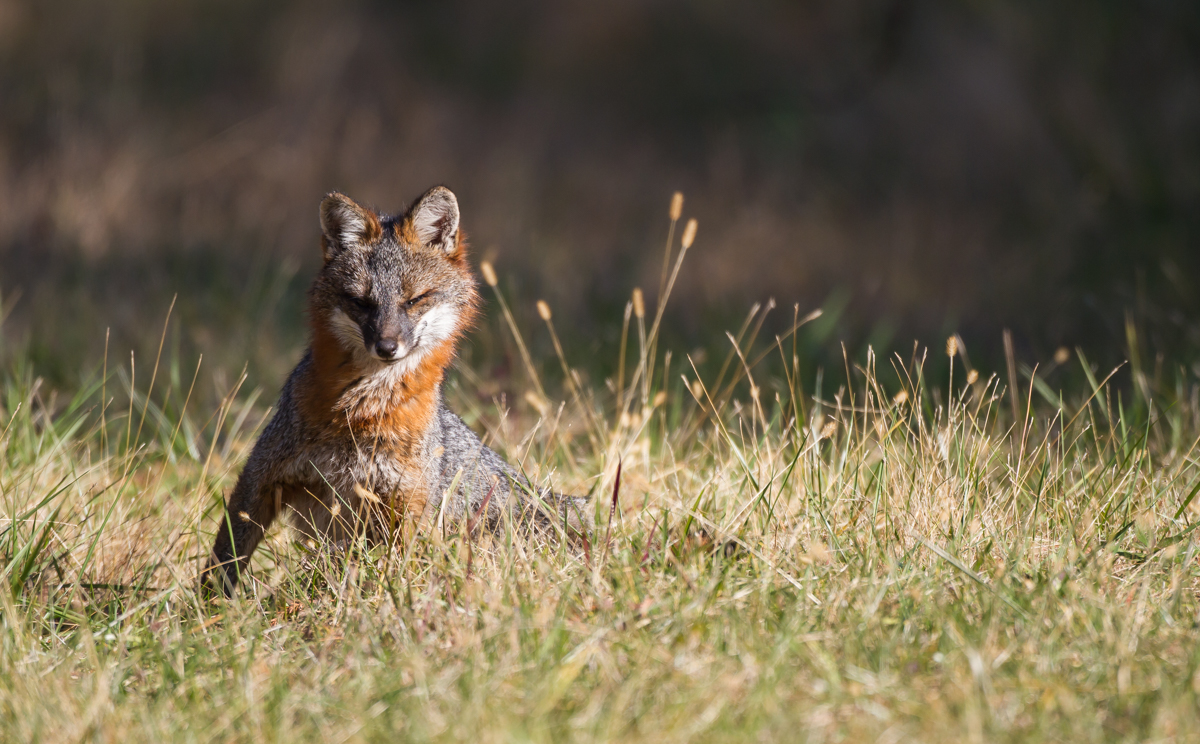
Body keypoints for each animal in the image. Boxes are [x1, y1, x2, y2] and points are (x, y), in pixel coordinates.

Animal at [203, 186, 589, 597]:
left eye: (415, 299)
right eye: (361, 302)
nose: (387, 347)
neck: (361, 412)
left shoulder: (406, 503)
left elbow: (397, 573)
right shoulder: (261, 478)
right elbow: (224, 558)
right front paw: (208, 605)